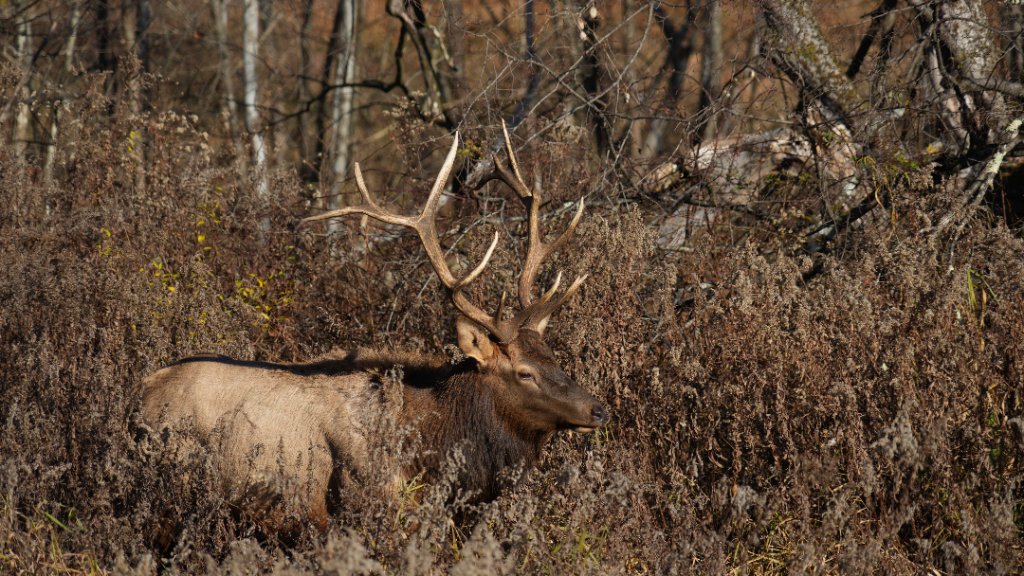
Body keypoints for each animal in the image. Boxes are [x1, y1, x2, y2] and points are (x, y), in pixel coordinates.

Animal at [141, 124, 608, 533]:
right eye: (524, 373)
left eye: (554, 358)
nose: (597, 408)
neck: (432, 445)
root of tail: (140, 395)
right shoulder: (361, 503)